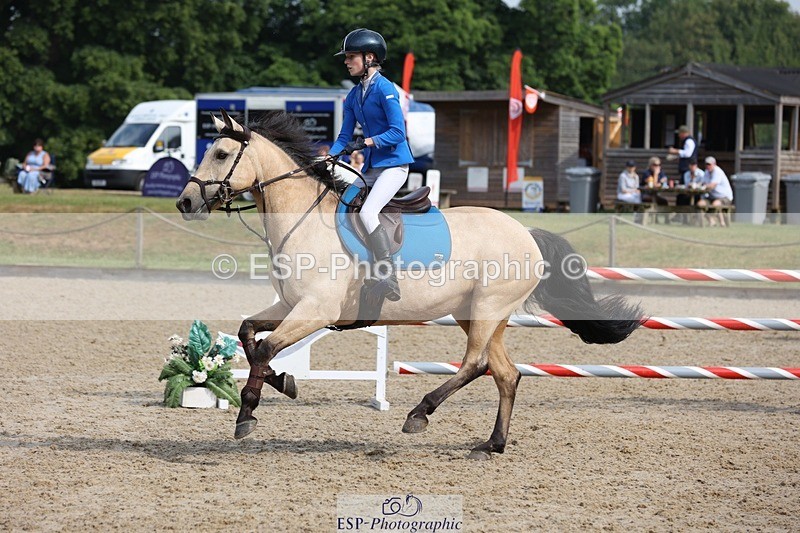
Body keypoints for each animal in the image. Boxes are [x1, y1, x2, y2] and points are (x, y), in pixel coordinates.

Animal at [176, 110, 644, 460]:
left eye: (220, 153)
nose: (185, 202)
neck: (302, 219)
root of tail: (525, 232)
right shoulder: (290, 306)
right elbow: (249, 335)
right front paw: (283, 383)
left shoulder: (315, 311)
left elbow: (265, 349)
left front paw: (247, 413)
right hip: (476, 313)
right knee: (505, 373)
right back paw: (492, 444)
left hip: (488, 309)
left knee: (475, 364)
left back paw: (420, 413)